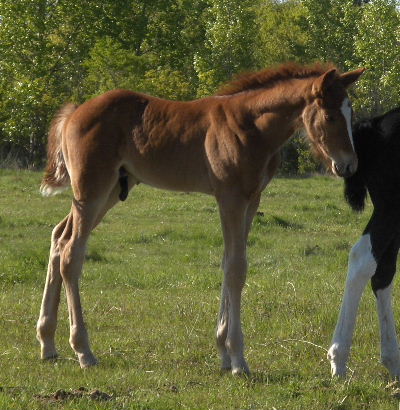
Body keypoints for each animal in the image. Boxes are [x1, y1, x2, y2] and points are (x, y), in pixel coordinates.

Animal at [36, 62, 362, 374]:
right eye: (330, 116)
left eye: (350, 113)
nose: (348, 165)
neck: (252, 127)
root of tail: (75, 113)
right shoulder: (230, 197)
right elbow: (237, 268)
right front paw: (238, 359)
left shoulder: (252, 199)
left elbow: (229, 263)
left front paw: (223, 352)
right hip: (92, 189)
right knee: (71, 253)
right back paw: (83, 351)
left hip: (113, 189)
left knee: (58, 236)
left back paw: (47, 343)